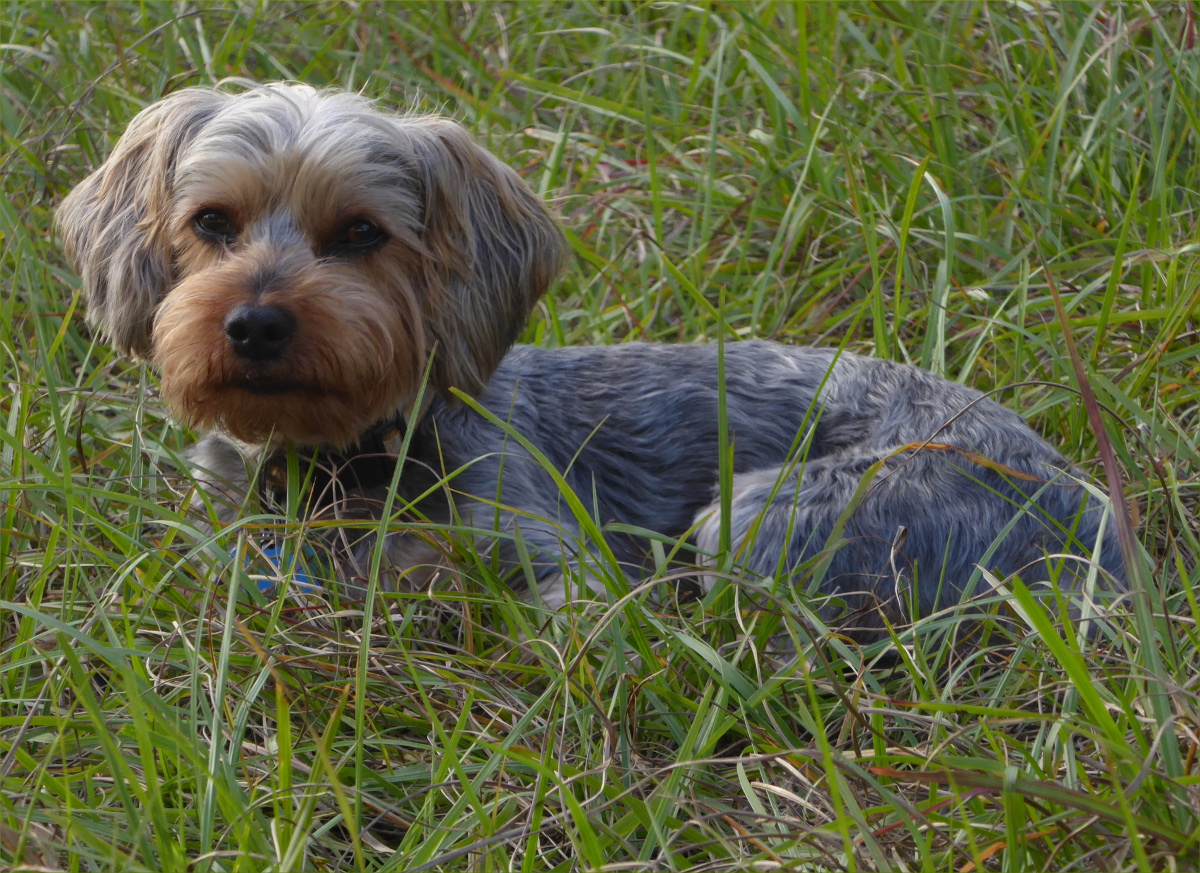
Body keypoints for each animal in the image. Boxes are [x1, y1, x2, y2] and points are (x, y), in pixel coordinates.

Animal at [57, 83, 1126, 627]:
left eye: (360, 233)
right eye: (211, 221)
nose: (255, 324)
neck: (343, 456)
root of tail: (1099, 523)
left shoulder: (552, 550)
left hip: (782, 513)